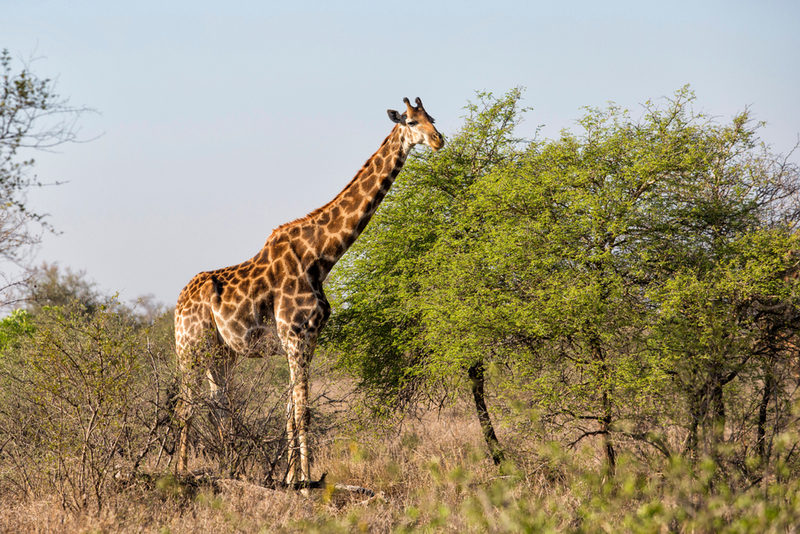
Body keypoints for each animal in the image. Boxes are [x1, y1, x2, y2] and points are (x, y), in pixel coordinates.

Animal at [174, 98, 444, 488]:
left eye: (432, 118)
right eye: (411, 121)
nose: (439, 140)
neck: (321, 256)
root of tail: (178, 302)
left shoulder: (309, 339)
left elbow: (291, 412)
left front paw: (289, 478)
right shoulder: (295, 336)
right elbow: (303, 411)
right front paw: (305, 482)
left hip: (222, 355)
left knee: (219, 407)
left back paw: (228, 472)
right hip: (190, 349)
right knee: (186, 405)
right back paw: (180, 473)